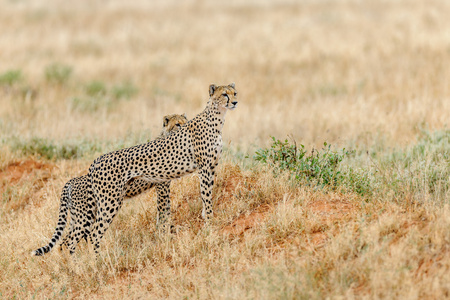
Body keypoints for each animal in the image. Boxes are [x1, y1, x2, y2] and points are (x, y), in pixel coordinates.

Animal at [30, 112, 187, 255]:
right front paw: (165, 233)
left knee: (65, 240)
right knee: (74, 239)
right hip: (88, 215)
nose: (185, 127)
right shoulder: (162, 187)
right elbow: (164, 210)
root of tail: (71, 181)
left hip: (79, 216)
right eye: (177, 124)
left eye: (185, 121)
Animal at [86, 82, 237, 253]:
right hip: (110, 200)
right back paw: (98, 257)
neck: (217, 119)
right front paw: (210, 223)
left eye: (235, 93)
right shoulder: (202, 168)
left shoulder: (210, 166)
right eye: (224, 94)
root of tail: (96, 160)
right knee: (94, 232)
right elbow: (203, 195)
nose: (235, 102)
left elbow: (206, 194)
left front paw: (205, 216)